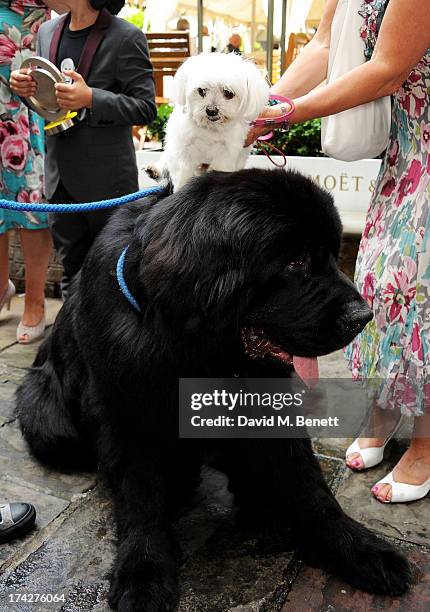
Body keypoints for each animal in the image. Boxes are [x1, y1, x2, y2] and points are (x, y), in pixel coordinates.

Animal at [16, 169, 412, 612]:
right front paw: (144, 571)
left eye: (329, 255)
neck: (189, 344)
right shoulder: (126, 406)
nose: (363, 316)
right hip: (49, 421)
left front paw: (356, 546)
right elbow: (140, 494)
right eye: (295, 262)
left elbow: (307, 481)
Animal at [155, 53, 268, 191]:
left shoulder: (226, 153)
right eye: (201, 90)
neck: (210, 129)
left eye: (228, 93)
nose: (211, 110)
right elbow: (183, 174)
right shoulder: (183, 150)